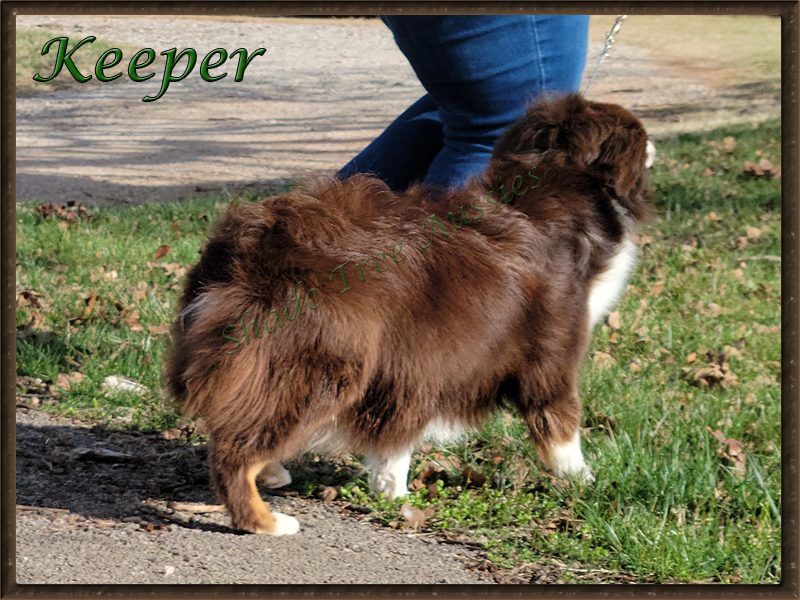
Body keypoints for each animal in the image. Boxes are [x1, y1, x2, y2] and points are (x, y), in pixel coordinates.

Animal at [166, 96, 652, 536]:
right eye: (638, 133)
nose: (654, 144)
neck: (552, 189)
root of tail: (250, 246)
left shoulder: (410, 366)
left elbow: (394, 439)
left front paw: (391, 491)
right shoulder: (549, 359)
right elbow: (562, 425)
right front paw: (584, 482)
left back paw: (272, 473)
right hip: (318, 366)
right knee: (233, 450)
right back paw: (266, 521)